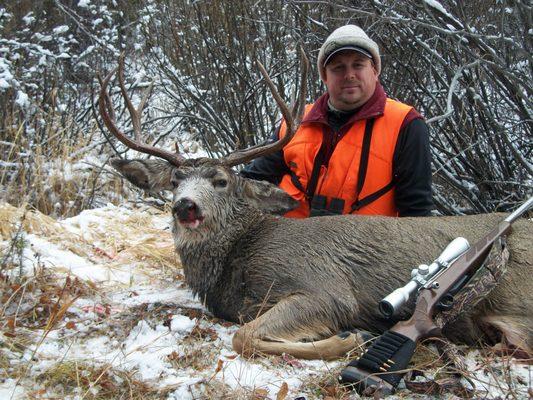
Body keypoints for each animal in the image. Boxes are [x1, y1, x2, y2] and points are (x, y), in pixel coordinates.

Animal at [97, 55, 528, 360]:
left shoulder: (323, 287)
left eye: (221, 181)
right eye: (174, 182)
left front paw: (349, 339)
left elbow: (243, 337)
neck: (239, 258)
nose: (185, 206)